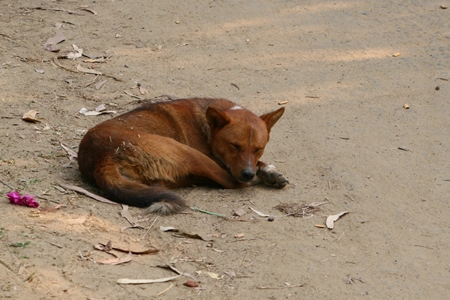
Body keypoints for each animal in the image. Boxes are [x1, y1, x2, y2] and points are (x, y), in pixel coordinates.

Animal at [78, 97, 288, 214]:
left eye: (258, 148)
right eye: (234, 146)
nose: (248, 173)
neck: (207, 127)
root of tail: (100, 156)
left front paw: (269, 171)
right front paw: (264, 172)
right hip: (187, 152)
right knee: (230, 182)